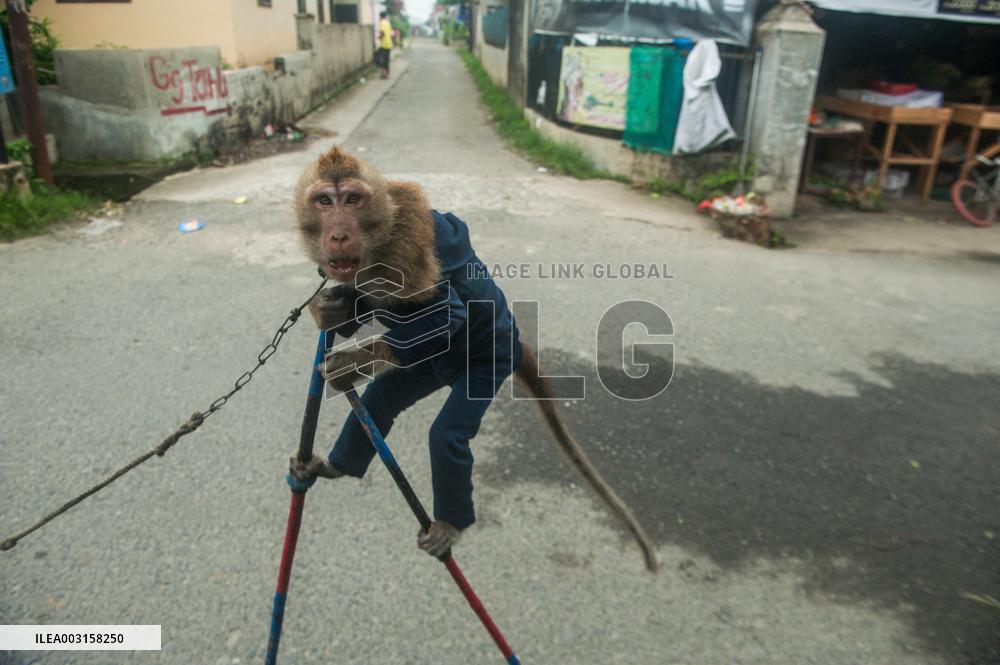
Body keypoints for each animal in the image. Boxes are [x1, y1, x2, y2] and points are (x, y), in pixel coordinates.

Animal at [289, 146, 659, 571]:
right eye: (324, 201)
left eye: (351, 199)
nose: (338, 233)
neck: (376, 238)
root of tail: (513, 339)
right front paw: (332, 312)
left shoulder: (406, 255)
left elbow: (446, 318)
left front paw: (348, 360)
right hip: (429, 368)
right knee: (381, 401)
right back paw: (335, 465)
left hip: (488, 367)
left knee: (447, 434)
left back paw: (450, 525)